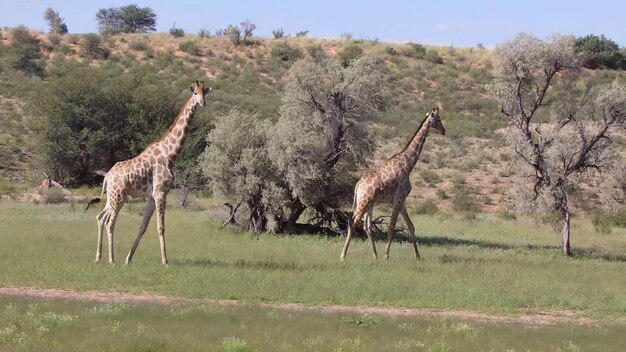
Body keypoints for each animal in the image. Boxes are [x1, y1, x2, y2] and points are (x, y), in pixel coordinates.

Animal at [90, 80, 211, 266]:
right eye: (195, 93)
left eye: (205, 92)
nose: (203, 103)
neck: (169, 155)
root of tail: (107, 177)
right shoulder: (161, 192)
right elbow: (161, 227)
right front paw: (165, 261)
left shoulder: (152, 196)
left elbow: (143, 226)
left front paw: (128, 259)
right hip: (119, 196)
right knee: (110, 222)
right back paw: (111, 259)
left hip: (111, 196)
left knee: (100, 217)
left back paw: (98, 257)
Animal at [342, 107, 444, 262]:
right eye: (438, 119)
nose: (444, 130)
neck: (409, 164)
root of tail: (358, 185)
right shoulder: (398, 199)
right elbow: (391, 226)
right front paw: (386, 255)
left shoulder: (401, 200)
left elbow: (411, 226)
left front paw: (418, 256)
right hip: (364, 202)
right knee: (353, 221)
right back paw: (343, 255)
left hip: (370, 203)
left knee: (366, 226)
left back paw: (375, 255)